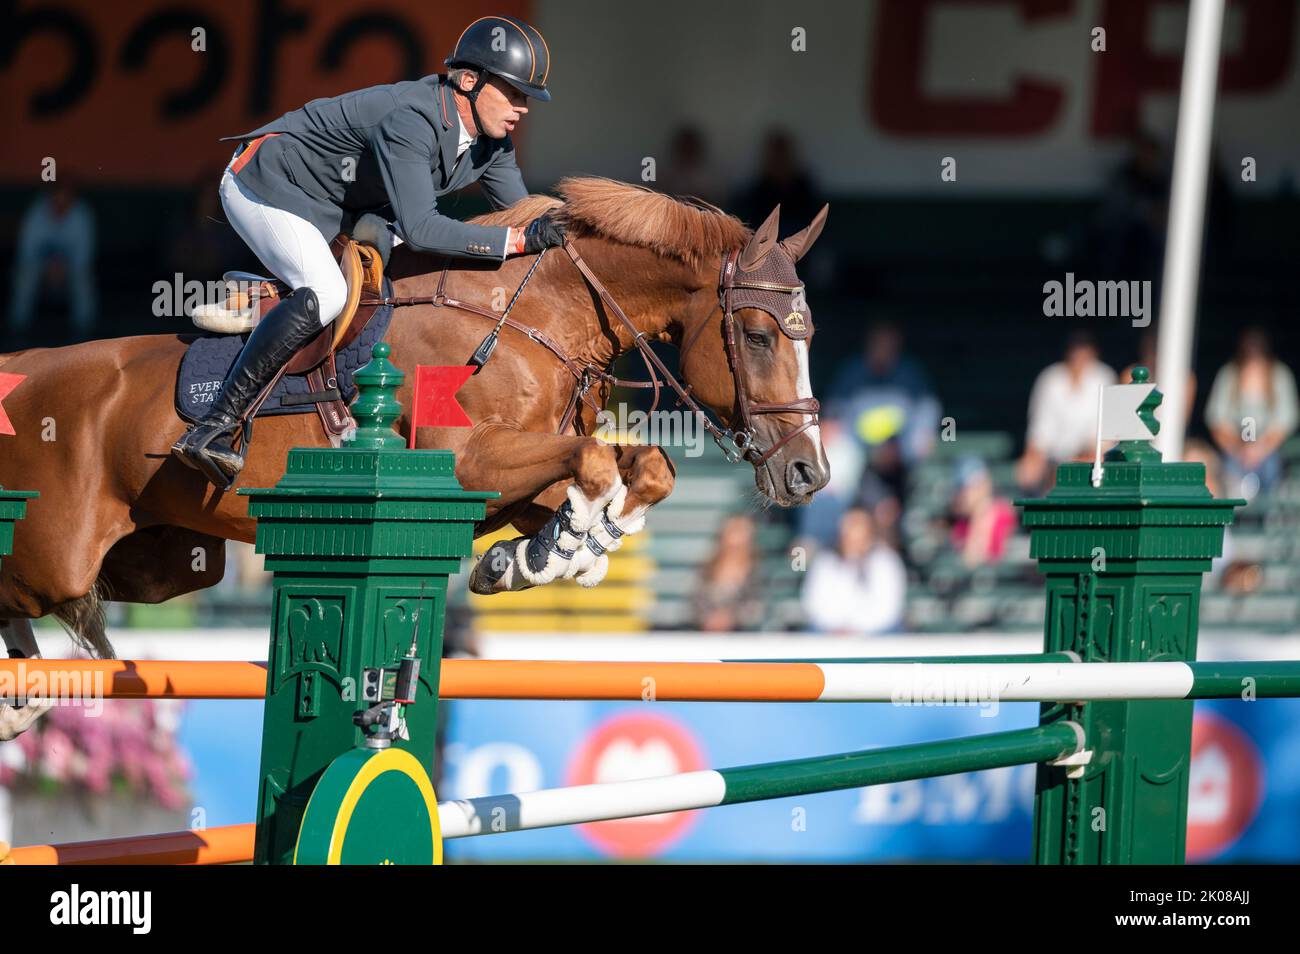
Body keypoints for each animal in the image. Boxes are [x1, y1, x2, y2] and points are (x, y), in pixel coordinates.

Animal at [0, 179, 832, 738]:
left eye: (809, 336)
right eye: (758, 336)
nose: (810, 473)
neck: (535, 314)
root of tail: (22, 366)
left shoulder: (510, 480)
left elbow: (638, 470)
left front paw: (534, 558)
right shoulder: (466, 464)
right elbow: (597, 461)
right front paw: (563, 550)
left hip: (161, 565)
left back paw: (28, 698)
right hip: (55, 555)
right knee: (29, 599)